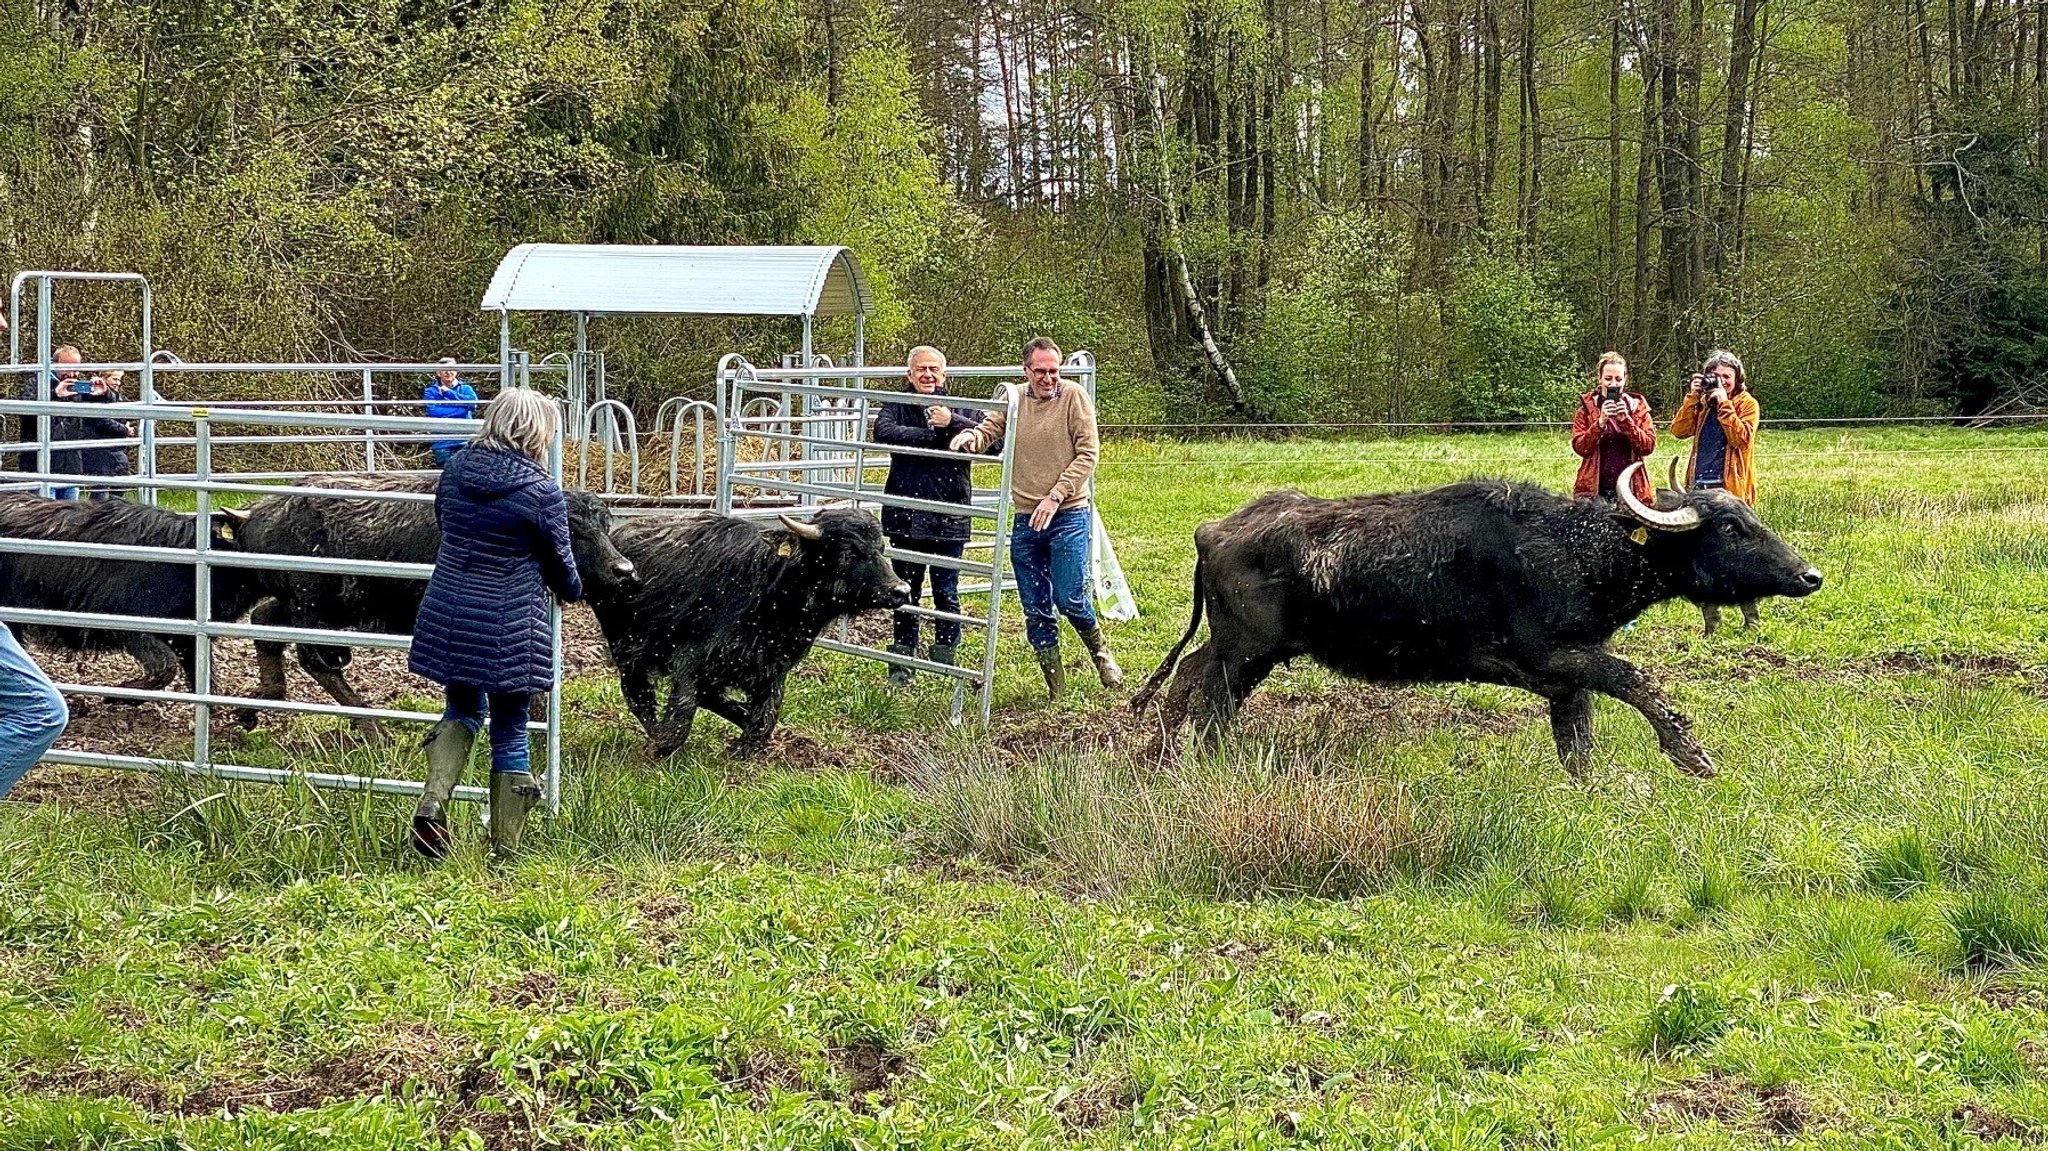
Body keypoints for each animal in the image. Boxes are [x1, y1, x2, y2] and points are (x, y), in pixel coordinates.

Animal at [220, 473, 634, 733]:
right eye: (572, 529)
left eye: (605, 525)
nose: (623, 570)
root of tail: (255, 515)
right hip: (313, 610)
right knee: (314, 659)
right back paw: (371, 726)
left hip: (310, 606)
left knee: (265, 624)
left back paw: (257, 704)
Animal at [593, 501, 913, 753]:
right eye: (848, 550)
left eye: (880, 548)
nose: (901, 590)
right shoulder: (691, 656)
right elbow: (683, 707)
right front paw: (662, 746)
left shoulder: (773, 665)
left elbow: (766, 714)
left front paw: (745, 744)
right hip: (625, 647)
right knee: (638, 695)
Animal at [1138, 460, 1826, 774]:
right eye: (1731, 527)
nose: (1809, 576)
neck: (1575, 549)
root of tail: (1215, 529)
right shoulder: (1558, 656)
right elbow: (1637, 679)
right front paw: (1691, 756)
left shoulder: (1566, 677)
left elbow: (1578, 741)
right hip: (1244, 652)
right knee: (1202, 695)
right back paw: (1188, 761)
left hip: (1240, 653)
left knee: (1190, 684)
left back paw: (1169, 757)